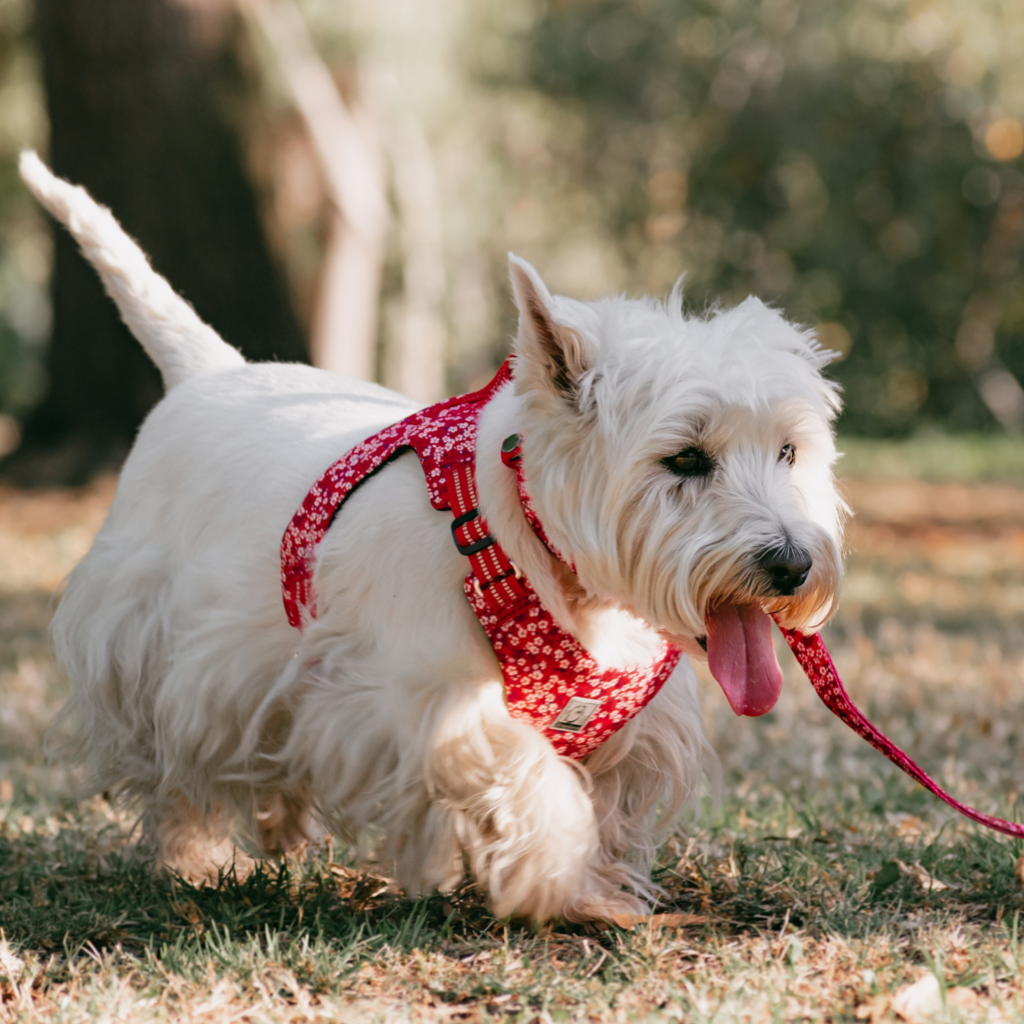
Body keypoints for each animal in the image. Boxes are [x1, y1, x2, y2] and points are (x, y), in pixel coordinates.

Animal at [19, 155, 843, 925]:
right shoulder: (419, 699)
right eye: (686, 459)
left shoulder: (632, 728)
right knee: (177, 763)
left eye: (788, 451)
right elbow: (527, 773)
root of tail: (207, 371)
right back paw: (191, 858)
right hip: (154, 643)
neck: (541, 559)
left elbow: (609, 802)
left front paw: (598, 888)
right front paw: (557, 876)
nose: (792, 565)